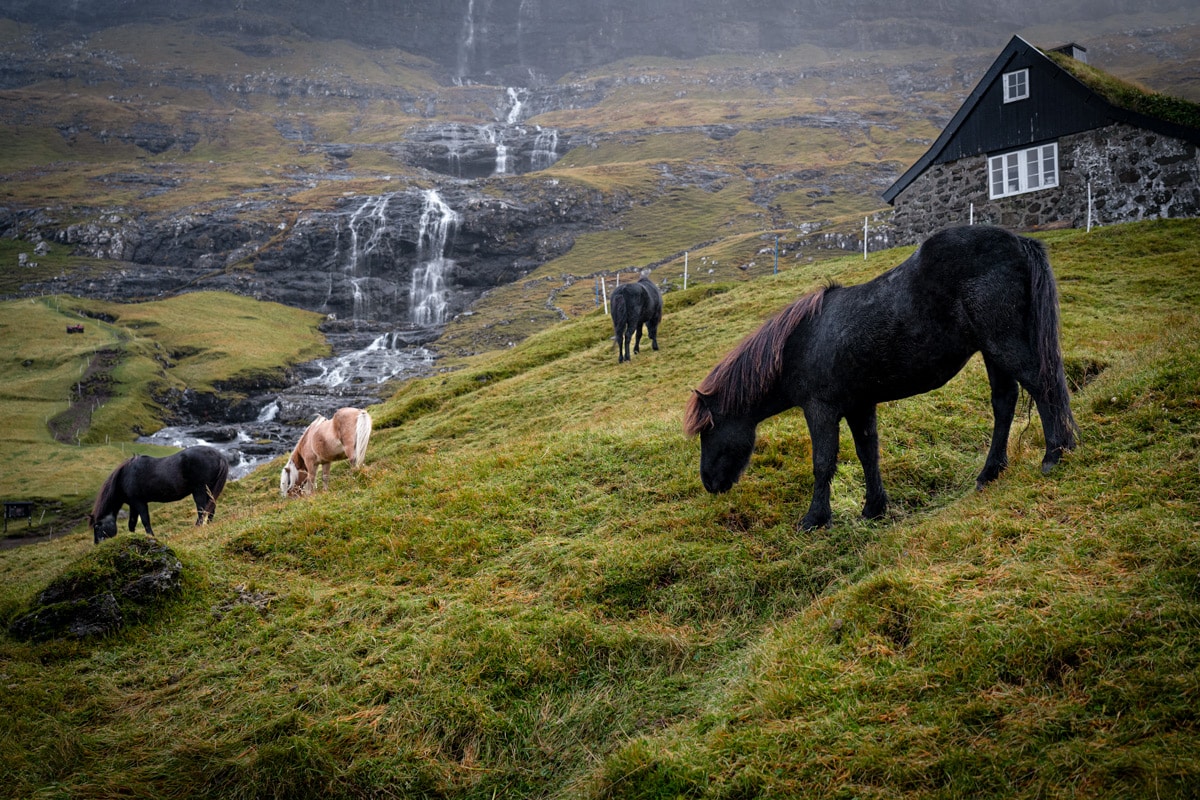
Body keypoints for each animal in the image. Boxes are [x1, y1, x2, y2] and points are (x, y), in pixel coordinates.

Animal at [88, 443, 229, 544]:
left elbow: (145, 520)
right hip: (209, 490)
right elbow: (132, 523)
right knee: (211, 509)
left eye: (97, 527)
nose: (97, 544)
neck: (125, 476)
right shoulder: (133, 504)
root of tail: (219, 455)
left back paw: (197, 528)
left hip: (199, 491)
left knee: (202, 511)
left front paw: (151, 537)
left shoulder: (139, 502)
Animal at [681, 221, 1084, 527]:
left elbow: (823, 462)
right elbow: (867, 453)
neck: (802, 343)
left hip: (1002, 343)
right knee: (1004, 403)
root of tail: (1018, 241)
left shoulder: (820, 409)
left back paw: (1055, 454)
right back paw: (990, 473)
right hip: (992, 351)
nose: (709, 482)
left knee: (1043, 385)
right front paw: (874, 508)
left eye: (708, 430)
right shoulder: (860, 405)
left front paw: (815, 519)